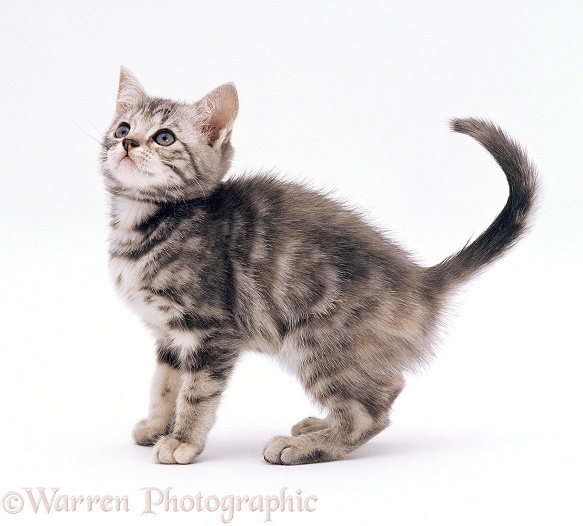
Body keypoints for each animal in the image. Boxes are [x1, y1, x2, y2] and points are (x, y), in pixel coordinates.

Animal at [99, 67, 540, 466]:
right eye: (123, 128)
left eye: (164, 137)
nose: (129, 144)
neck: (144, 224)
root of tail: (422, 281)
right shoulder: (169, 335)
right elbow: (164, 384)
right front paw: (158, 426)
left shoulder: (210, 332)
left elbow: (195, 393)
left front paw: (182, 441)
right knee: (386, 386)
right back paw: (320, 426)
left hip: (315, 341)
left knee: (370, 412)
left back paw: (307, 447)